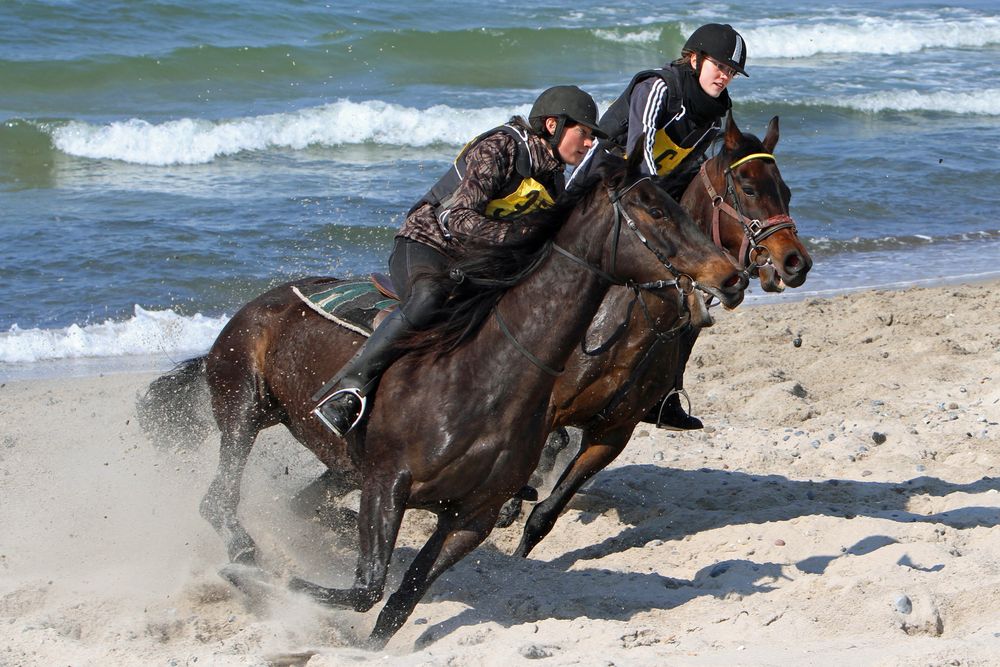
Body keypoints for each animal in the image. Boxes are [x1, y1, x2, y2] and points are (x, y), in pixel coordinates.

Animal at [145, 149, 748, 648]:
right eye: (654, 211)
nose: (732, 275)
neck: (487, 379)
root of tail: (259, 304)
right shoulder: (387, 483)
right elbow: (367, 587)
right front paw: (275, 585)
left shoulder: (469, 518)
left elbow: (398, 601)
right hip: (243, 409)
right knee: (218, 500)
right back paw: (246, 559)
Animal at [508, 115, 812, 560]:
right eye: (750, 189)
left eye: (787, 192)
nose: (796, 262)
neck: (624, 327)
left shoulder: (611, 436)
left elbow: (544, 515)